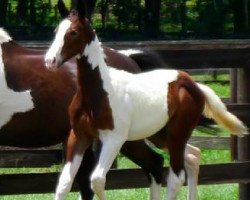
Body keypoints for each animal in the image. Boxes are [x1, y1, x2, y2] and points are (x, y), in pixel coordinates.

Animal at [44, 1, 248, 200]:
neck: (99, 92)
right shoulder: (79, 135)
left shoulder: (114, 138)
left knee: (176, 177)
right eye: (56, 31)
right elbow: (64, 184)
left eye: (73, 32)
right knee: (192, 156)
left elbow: (97, 180)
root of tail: (193, 85)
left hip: (177, 134)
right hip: (160, 135)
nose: (50, 61)